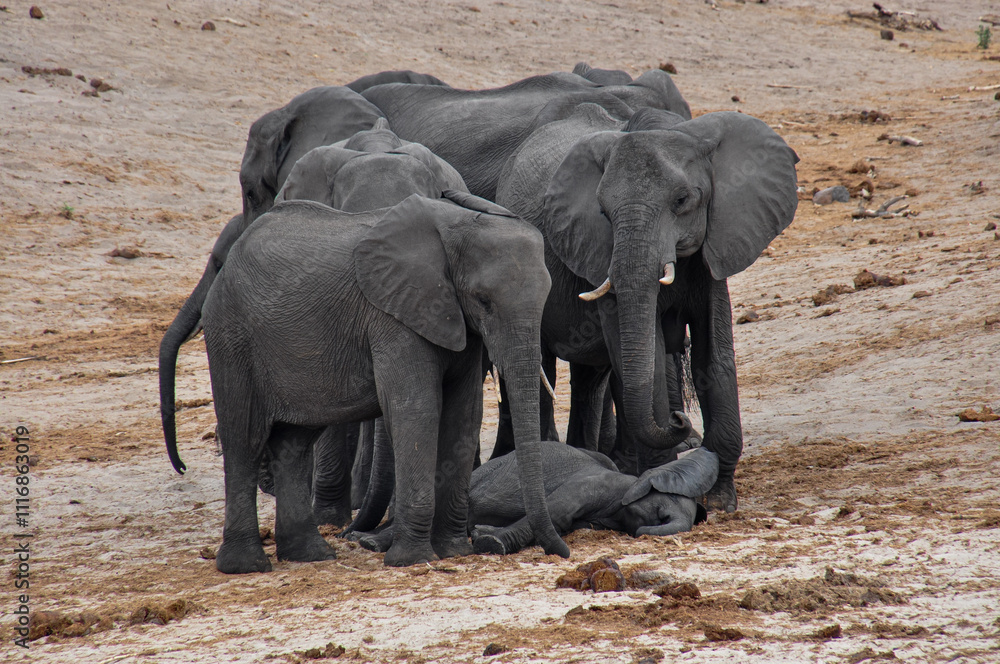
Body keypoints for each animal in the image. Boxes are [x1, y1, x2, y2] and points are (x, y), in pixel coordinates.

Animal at [186, 192, 569, 572]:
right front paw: (413, 560)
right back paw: (246, 565)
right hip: (231, 335)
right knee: (244, 439)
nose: (562, 552)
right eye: (483, 300)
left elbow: (464, 413)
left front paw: (454, 552)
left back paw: (310, 555)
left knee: (294, 444)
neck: (454, 225)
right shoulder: (394, 315)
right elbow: (417, 408)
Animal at [495, 103, 799, 512]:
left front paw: (720, 499)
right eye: (603, 212)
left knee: (591, 378)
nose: (678, 418)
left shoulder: (716, 246)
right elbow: (647, 357)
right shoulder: (601, 255)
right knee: (540, 368)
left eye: (682, 200)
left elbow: (714, 356)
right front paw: (663, 483)